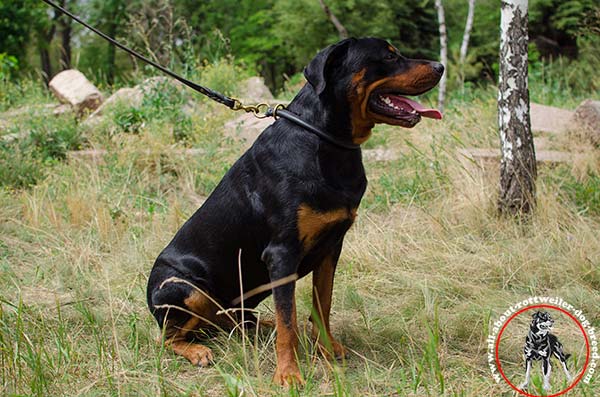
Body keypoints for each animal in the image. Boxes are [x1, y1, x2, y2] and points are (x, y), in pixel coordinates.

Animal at [148, 37, 442, 384]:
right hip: (184, 289)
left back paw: (262, 325)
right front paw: (288, 374)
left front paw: (327, 349)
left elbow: (321, 305)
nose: (440, 66)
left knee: (231, 321)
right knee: (168, 338)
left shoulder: (331, 247)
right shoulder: (282, 253)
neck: (326, 141)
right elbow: (288, 322)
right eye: (388, 56)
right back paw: (197, 351)